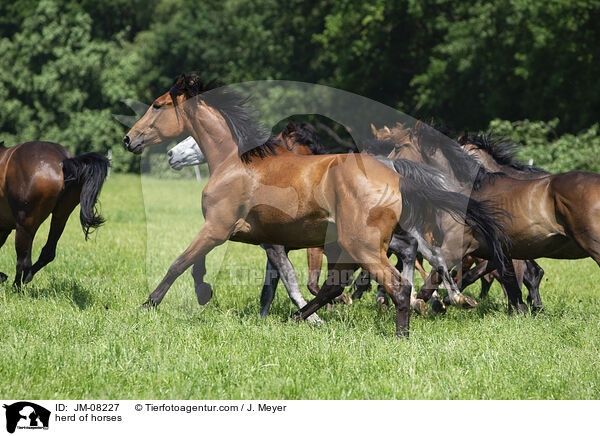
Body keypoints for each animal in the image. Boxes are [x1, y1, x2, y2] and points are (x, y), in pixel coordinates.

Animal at [0, 141, 109, 288]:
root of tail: (62, 161)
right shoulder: (4, 229)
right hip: (60, 217)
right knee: (47, 253)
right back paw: (25, 278)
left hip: (26, 224)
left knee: (23, 261)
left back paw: (16, 287)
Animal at [124, 73, 508, 338]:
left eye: (157, 105)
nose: (129, 139)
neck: (235, 163)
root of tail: (394, 173)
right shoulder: (248, 235)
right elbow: (213, 268)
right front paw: (205, 293)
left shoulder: (219, 228)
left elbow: (180, 262)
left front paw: (149, 304)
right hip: (350, 245)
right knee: (341, 284)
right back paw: (301, 318)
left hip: (362, 245)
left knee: (398, 283)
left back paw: (403, 331)